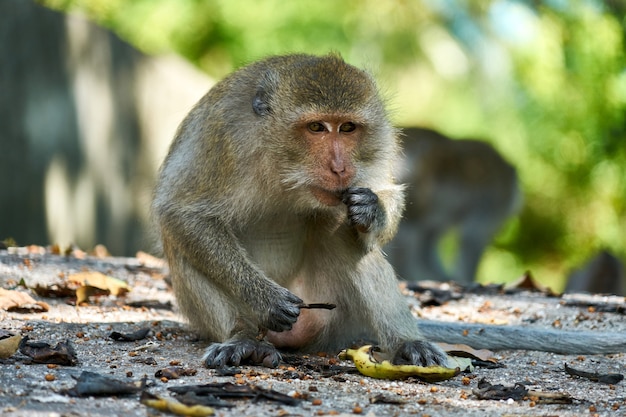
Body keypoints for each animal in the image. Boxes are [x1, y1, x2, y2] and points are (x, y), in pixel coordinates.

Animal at [151, 54, 448, 368]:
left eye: (347, 128)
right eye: (316, 127)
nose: (340, 168)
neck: (281, 164)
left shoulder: (376, 147)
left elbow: (386, 194)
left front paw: (372, 209)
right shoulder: (220, 136)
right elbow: (183, 212)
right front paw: (266, 299)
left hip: (337, 317)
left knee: (340, 229)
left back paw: (406, 343)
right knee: (182, 245)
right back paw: (242, 338)